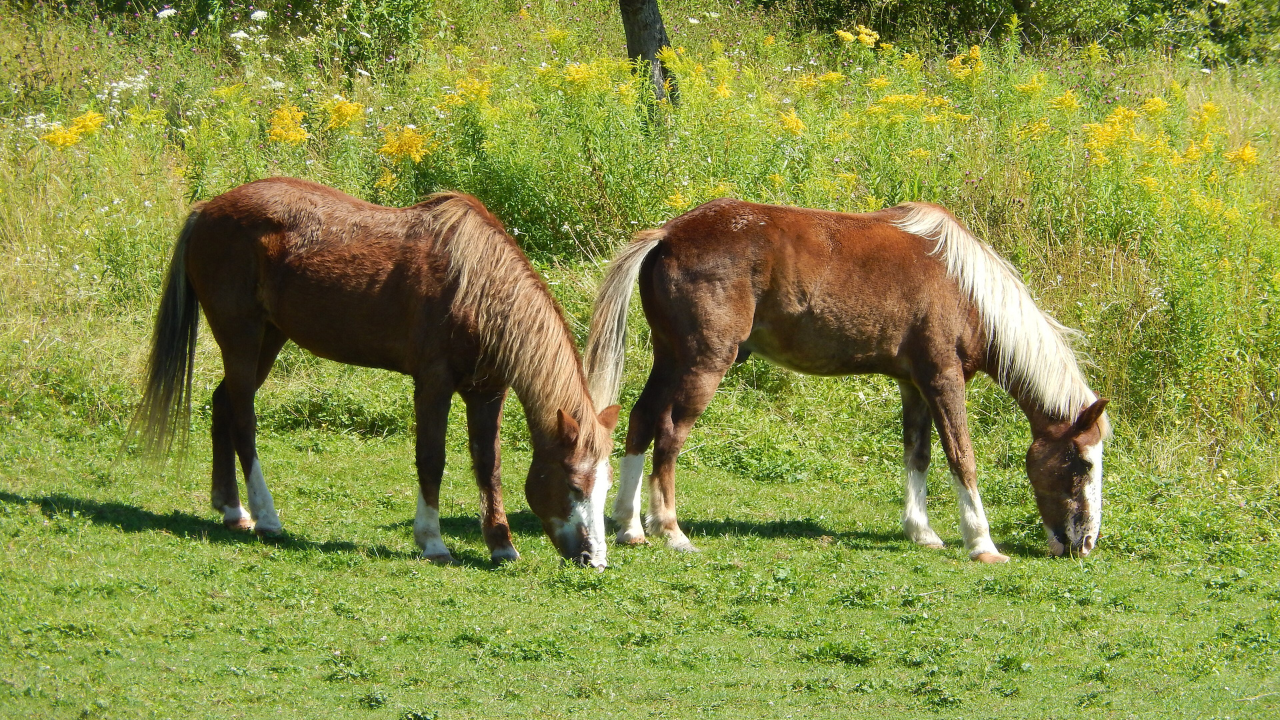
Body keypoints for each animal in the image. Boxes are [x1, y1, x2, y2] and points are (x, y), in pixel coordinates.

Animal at [132, 177, 620, 567]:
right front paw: (432, 541)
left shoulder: (487, 392)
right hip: (241, 336)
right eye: (573, 485)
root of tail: (207, 208)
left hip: (268, 339)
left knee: (223, 405)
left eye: (604, 487)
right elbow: (432, 459)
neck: (477, 287)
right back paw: (266, 516)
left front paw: (501, 544)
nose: (594, 560)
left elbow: (488, 465)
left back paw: (231, 509)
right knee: (244, 421)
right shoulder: (433, 383)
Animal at [585, 199, 1110, 563]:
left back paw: (630, 525)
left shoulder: (914, 385)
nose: (1085, 543)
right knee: (670, 433)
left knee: (641, 419)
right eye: (1083, 464)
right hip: (703, 364)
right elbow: (962, 458)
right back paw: (670, 530)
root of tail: (668, 234)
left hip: (670, 358)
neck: (965, 288)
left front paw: (921, 532)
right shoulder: (944, 380)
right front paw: (982, 544)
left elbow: (917, 456)